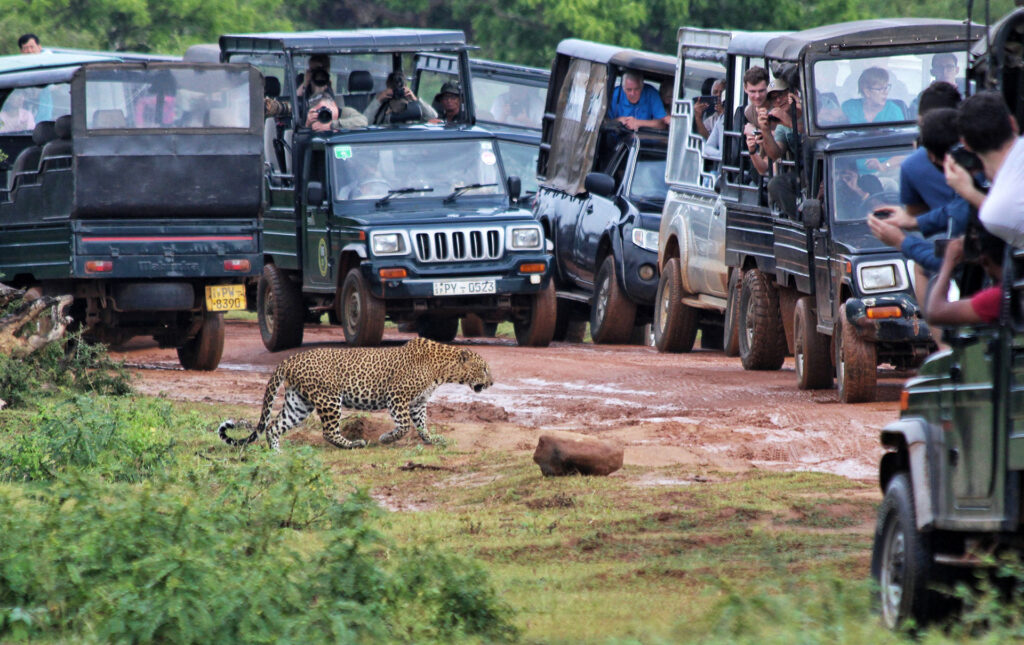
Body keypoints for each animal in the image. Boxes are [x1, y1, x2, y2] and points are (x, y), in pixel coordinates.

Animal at [218, 335, 493, 452]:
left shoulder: (417, 403)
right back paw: (354, 444)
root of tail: (289, 359)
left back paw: (277, 454)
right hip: (329, 398)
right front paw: (386, 439)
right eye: (484, 368)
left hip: (300, 402)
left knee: (275, 425)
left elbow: (422, 424)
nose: (492, 382)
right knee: (328, 431)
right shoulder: (397, 397)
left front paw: (432, 440)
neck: (443, 369)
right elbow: (404, 426)